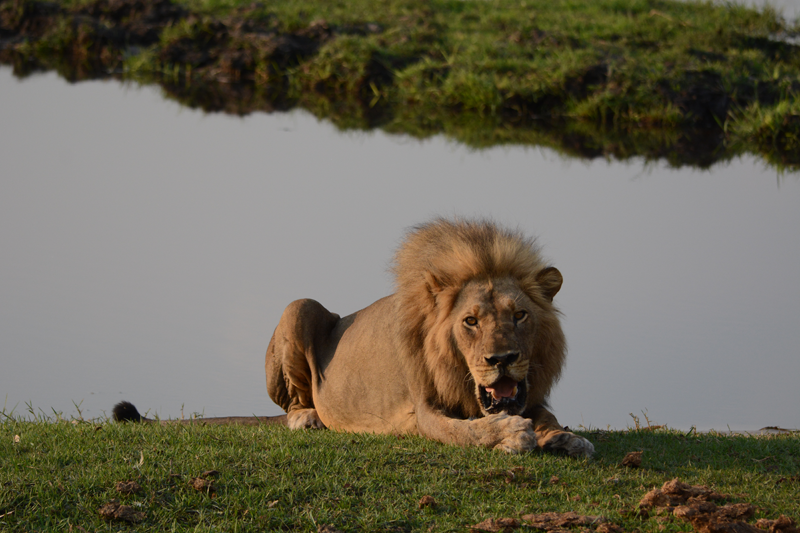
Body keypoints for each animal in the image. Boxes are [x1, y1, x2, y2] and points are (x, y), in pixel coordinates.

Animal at [114, 218, 593, 457]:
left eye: (520, 315)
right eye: (470, 321)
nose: (501, 360)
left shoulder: (531, 396)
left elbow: (548, 418)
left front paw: (567, 438)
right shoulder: (424, 412)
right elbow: (469, 433)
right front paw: (512, 435)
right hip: (299, 306)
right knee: (295, 404)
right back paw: (308, 419)